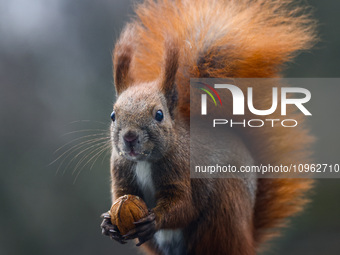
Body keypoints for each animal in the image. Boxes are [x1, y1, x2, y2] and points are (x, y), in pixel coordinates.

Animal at [100, 0, 316, 255]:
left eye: (159, 115)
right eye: (113, 115)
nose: (130, 137)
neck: (144, 161)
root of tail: (247, 239)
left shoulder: (182, 170)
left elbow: (184, 207)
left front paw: (154, 220)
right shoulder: (122, 174)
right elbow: (121, 196)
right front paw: (108, 225)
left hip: (223, 213)